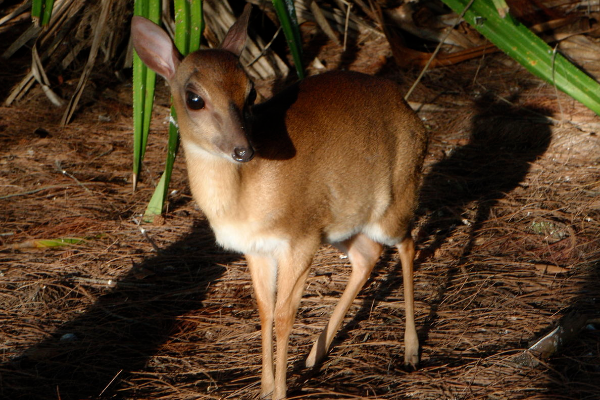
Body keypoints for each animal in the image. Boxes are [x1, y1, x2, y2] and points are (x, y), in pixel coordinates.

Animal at [134, 4, 428, 398]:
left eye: (251, 93)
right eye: (194, 98)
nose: (243, 150)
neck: (245, 194)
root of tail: (411, 114)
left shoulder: (299, 240)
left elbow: (285, 316)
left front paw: (280, 391)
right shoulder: (257, 249)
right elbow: (265, 311)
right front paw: (265, 388)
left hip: (394, 203)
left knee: (408, 245)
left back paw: (411, 351)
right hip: (343, 224)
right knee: (368, 256)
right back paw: (314, 357)